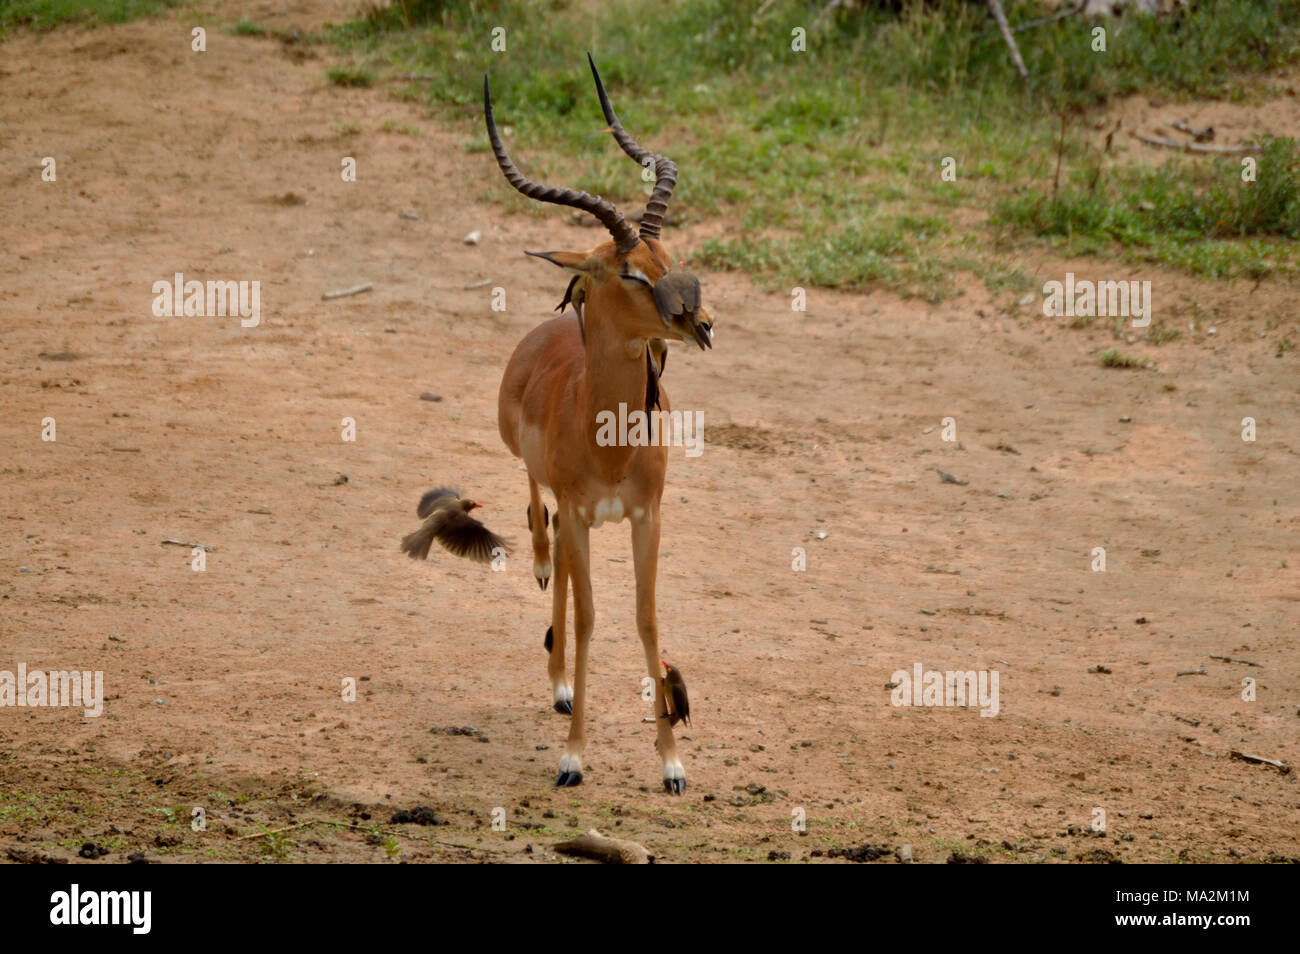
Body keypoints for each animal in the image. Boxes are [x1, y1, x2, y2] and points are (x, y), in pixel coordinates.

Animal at [485, 55, 713, 793]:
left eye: (669, 258)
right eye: (629, 272)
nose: (700, 321)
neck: (612, 447)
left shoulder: (648, 515)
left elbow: (646, 618)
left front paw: (671, 763)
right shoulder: (587, 513)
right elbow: (588, 620)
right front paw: (573, 757)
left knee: (556, 543)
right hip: (539, 475)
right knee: (546, 532)